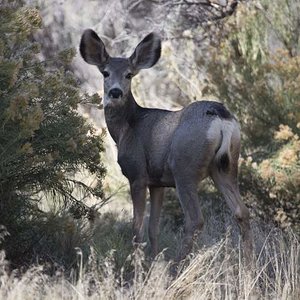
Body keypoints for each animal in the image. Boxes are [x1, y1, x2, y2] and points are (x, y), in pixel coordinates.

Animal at [79, 29, 253, 260]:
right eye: (105, 73)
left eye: (129, 74)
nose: (115, 92)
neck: (128, 127)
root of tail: (221, 118)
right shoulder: (157, 183)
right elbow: (153, 227)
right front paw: (154, 261)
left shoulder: (137, 174)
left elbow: (136, 227)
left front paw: (139, 264)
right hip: (226, 167)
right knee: (242, 212)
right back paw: (251, 266)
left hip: (184, 167)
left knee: (195, 220)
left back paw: (178, 265)